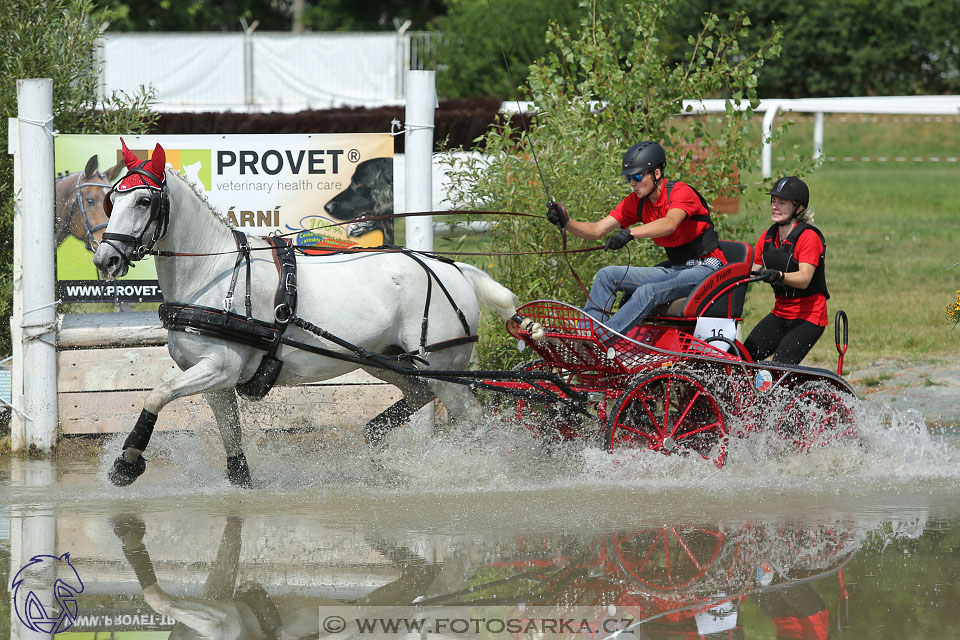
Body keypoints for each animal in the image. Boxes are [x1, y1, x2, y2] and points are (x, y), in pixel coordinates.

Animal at [93, 141, 536, 490]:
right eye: (113, 199)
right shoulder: (214, 377)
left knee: (472, 418)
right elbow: (228, 435)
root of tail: (455, 267)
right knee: (419, 394)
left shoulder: (219, 367)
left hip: (444, 367)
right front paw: (241, 482)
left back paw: (474, 472)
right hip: (385, 359)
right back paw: (377, 442)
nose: (105, 259)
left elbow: (156, 395)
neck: (214, 273)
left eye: (144, 201)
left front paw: (126, 463)